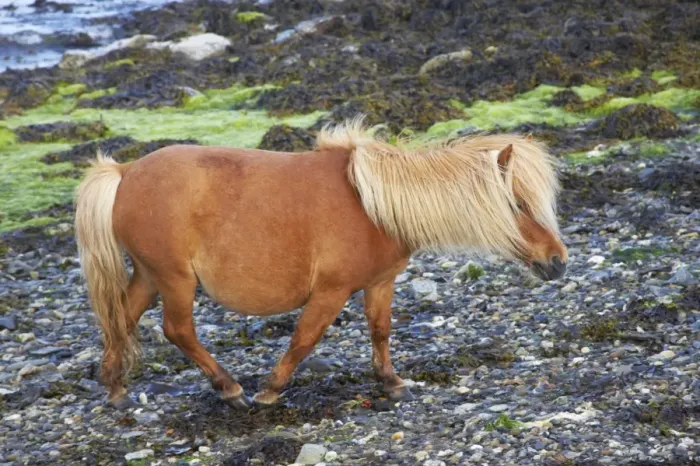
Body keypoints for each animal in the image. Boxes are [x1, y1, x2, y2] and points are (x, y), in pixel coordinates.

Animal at [74, 117, 568, 410]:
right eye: (518, 203)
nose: (558, 262)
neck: (373, 204)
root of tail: (125, 174)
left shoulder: (380, 283)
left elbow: (380, 331)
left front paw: (391, 381)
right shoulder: (330, 292)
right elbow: (303, 340)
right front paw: (270, 390)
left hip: (150, 276)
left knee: (122, 317)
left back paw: (115, 387)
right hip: (175, 280)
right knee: (177, 330)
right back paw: (230, 389)